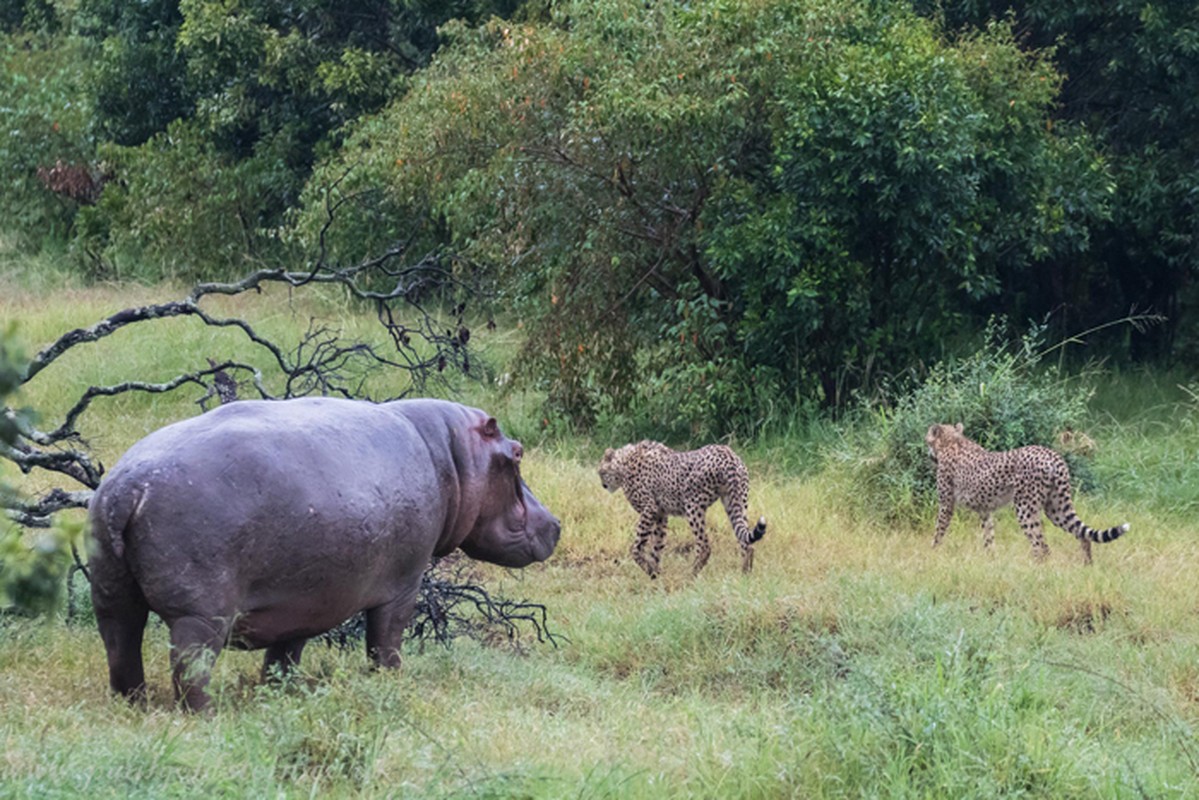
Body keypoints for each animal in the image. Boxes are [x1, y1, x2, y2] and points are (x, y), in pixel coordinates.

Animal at [594, 441, 762, 578]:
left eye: (601, 472)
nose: (603, 485)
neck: (624, 462)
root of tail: (728, 453)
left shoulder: (649, 509)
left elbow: (636, 548)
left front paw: (649, 570)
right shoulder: (660, 515)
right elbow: (657, 546)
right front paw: (655, 574)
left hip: (692, 506)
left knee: (704, 546)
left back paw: (691, 575)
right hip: (735, 502)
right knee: (746, 542)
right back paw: (744, 575)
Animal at [920, 422, 1127, 566]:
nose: (928, 453)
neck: (952, 441)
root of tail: (1052, 454)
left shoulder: (946, 504)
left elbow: (939, 530)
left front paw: (932, 552)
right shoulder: (985, 509)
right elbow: (989, 535)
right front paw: (990, 559)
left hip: (1024, 507)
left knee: (1041, 544)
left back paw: (1034, 569)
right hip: (1055, 507)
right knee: (1080, 534)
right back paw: (1087, 565)